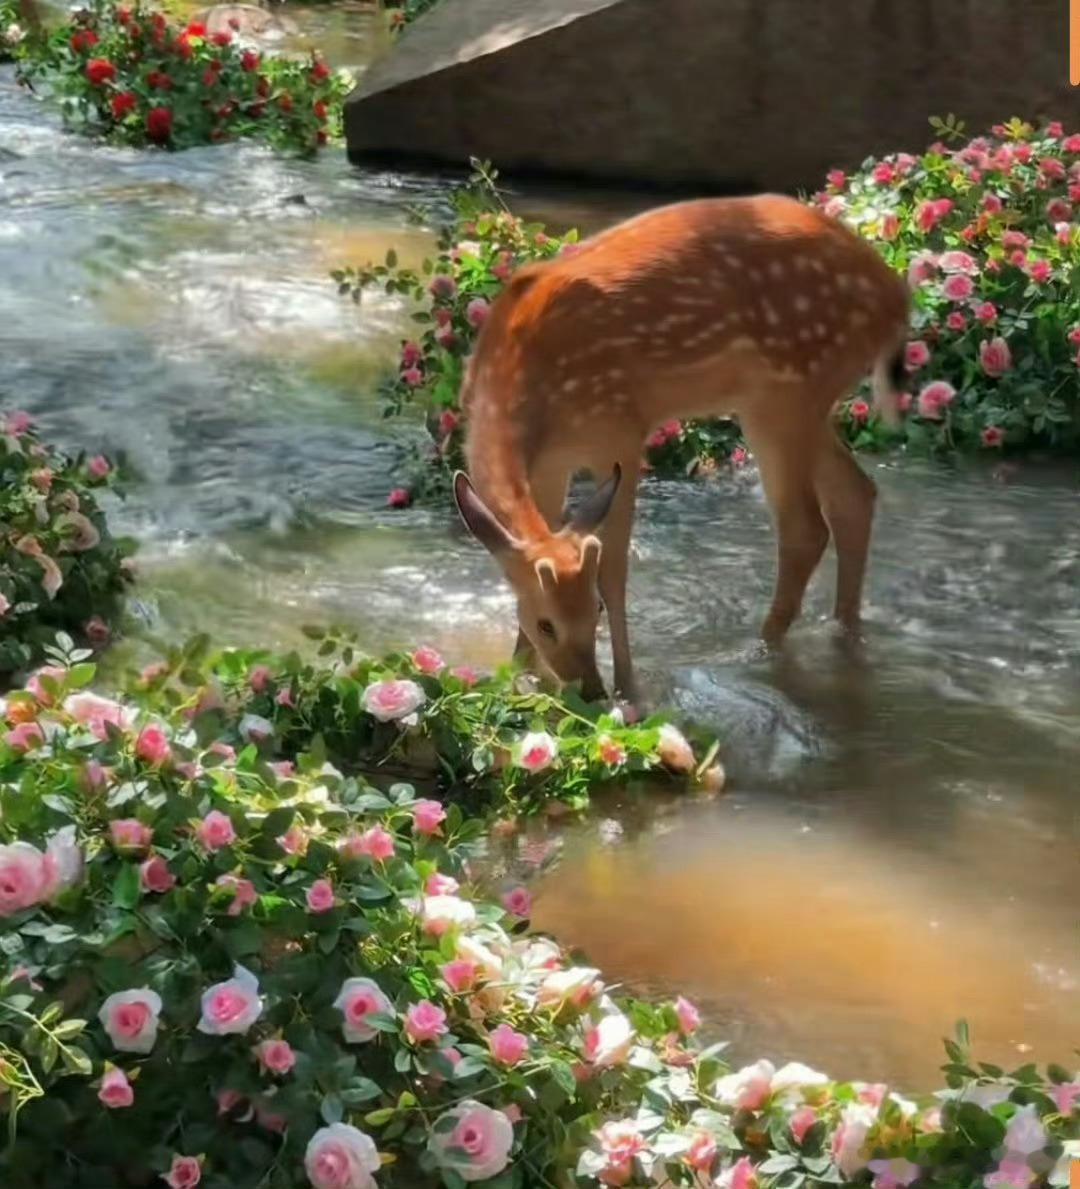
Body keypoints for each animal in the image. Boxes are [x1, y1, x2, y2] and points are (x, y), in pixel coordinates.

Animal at [451, 194, 910, 710]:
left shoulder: (619, 429)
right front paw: (519, 677)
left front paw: (628, 689)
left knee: (805, 527)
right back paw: (844, 634)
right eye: (544, 623)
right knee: (855, 494)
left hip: (786, 394)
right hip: (800, 403)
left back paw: (761, 647)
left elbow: (615, 569)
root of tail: (898, 298)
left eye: (594, 610)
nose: (589, 689)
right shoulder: (551, 464)